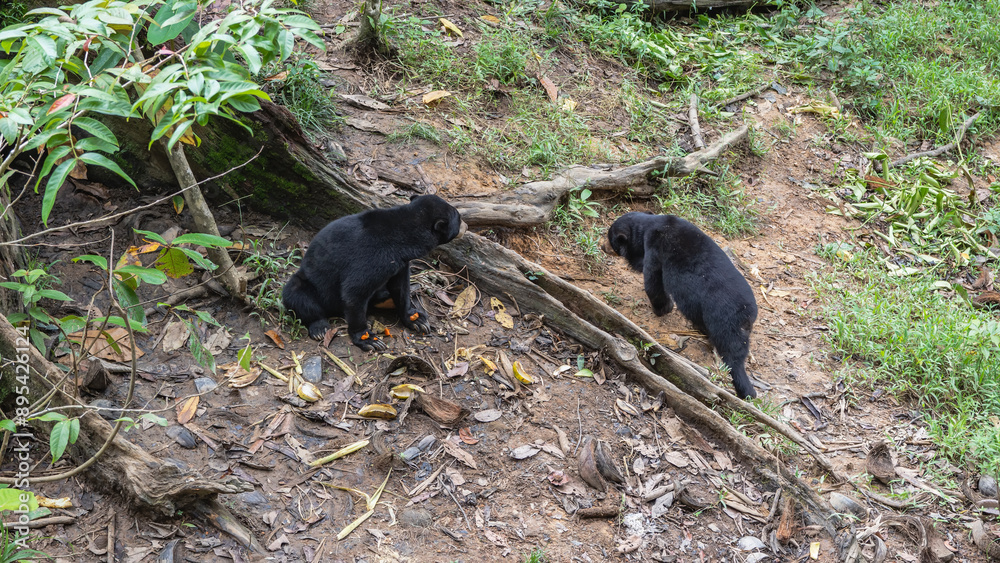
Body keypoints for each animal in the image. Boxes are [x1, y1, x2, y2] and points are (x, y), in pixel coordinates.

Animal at [282, 194, 466, 351]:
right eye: (459, 217)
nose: (466, 225)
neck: (404, 238)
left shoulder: (398, 263)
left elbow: (400, 287)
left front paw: (417, 319)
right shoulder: (374, 258)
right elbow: (354, 292)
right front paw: (368, 339)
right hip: (308, 283)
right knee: (297, 295)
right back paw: (320, 328)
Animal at [603, 212, 758, 399]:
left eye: (610, 239)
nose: (602, 247)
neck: (649, 225)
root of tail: (747, 314)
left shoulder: (655, 248)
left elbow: (653, 280)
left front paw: (663, 308)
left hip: (722, 320)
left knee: (732, 354)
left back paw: (746, 389)